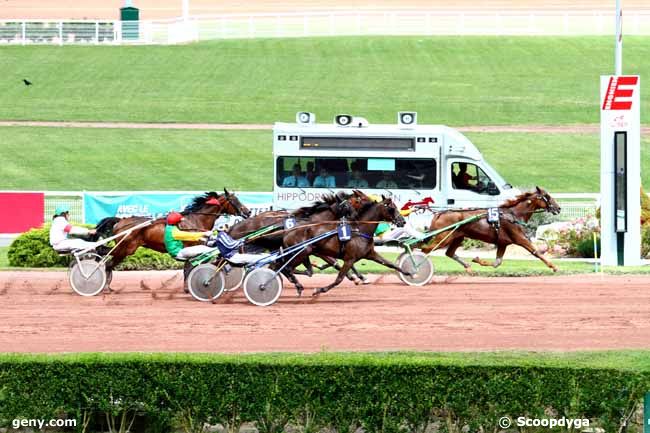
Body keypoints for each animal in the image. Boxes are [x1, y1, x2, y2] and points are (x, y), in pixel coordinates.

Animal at [418, 186, 560, 274]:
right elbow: (536, 252)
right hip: (444, 237)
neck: (513, 214)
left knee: (449, 253)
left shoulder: (503, 243)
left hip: (458, 237)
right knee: (425, 250)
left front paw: (477, 260)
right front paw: (554, 266)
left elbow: (497, 263)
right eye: (547, 196)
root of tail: (439, 213)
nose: (558, 208)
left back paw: (467, 267)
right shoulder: (520, 238)